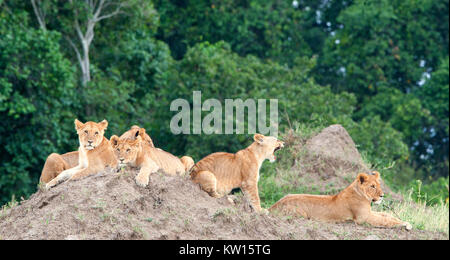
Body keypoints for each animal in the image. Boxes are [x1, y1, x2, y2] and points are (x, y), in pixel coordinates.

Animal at [268, 172, 414, 231]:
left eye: (378, 185)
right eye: (372, 186)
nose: (383, 195)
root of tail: (273, 206)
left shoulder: (369, 213)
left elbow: (387, 215)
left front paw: (404, 221)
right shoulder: (363, 218)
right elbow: (385, 220)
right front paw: (405, 224)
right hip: (300, 214)